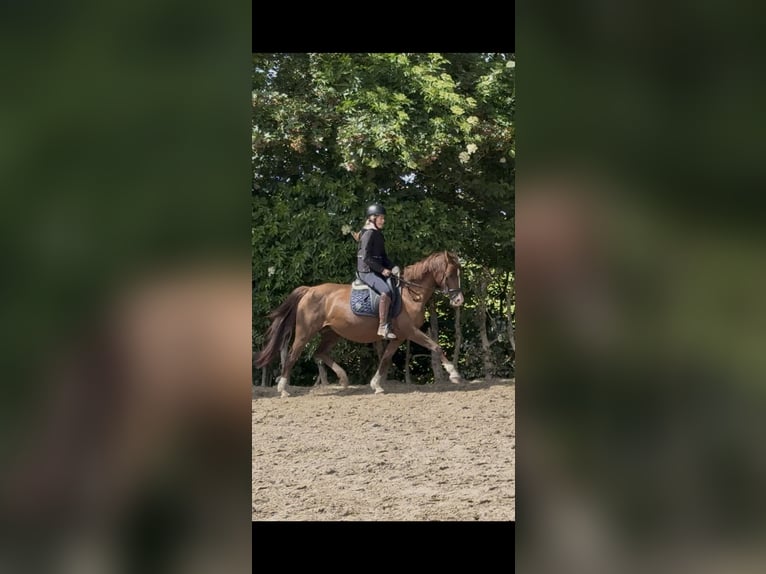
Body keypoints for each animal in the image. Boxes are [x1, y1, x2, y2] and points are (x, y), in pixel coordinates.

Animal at [254, 250, 466, 397]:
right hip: (305, 332)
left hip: (332, 332)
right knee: (292, 356)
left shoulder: (399, 336)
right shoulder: (411, 331)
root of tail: (309, 290)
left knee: (319, 353)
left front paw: (376, 385)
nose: (459, 300)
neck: (410, 294)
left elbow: (385, 358)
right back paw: (283, 389)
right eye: (450, 274)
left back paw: (343, 378)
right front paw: (454, 374)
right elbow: (435, 346)